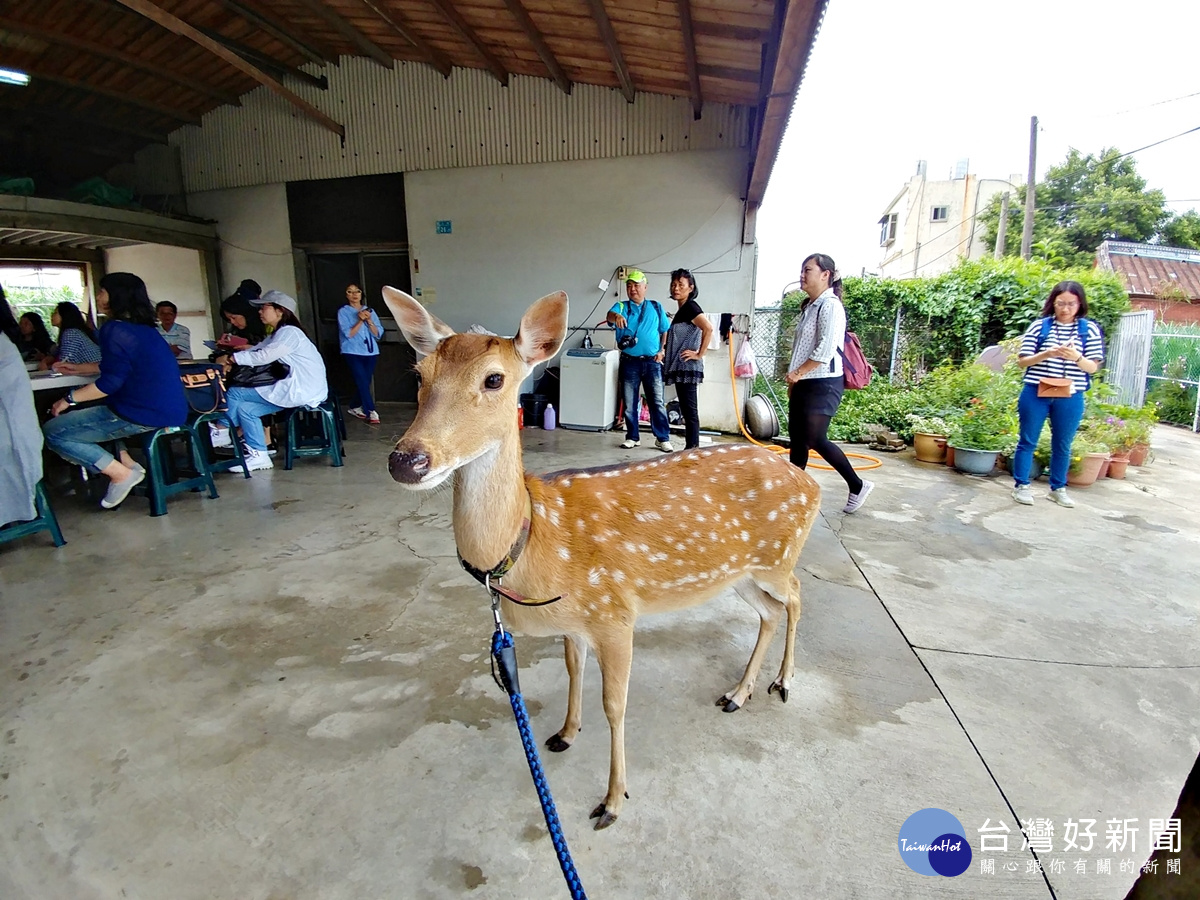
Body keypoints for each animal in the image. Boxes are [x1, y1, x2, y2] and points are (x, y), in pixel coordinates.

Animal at [384, 289, 825, 830]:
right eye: (419, 374)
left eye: (494, 379)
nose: (407, 460)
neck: (534, 539)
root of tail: (811, 483)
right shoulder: (576, 622)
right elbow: (574, 672)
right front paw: (564, 733)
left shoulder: (614, 611)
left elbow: (614, 704)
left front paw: (613, 801)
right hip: (737, 574)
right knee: (769, 612)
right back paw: (736, 694)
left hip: (777, 558)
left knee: (797, 596)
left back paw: (782, 683)